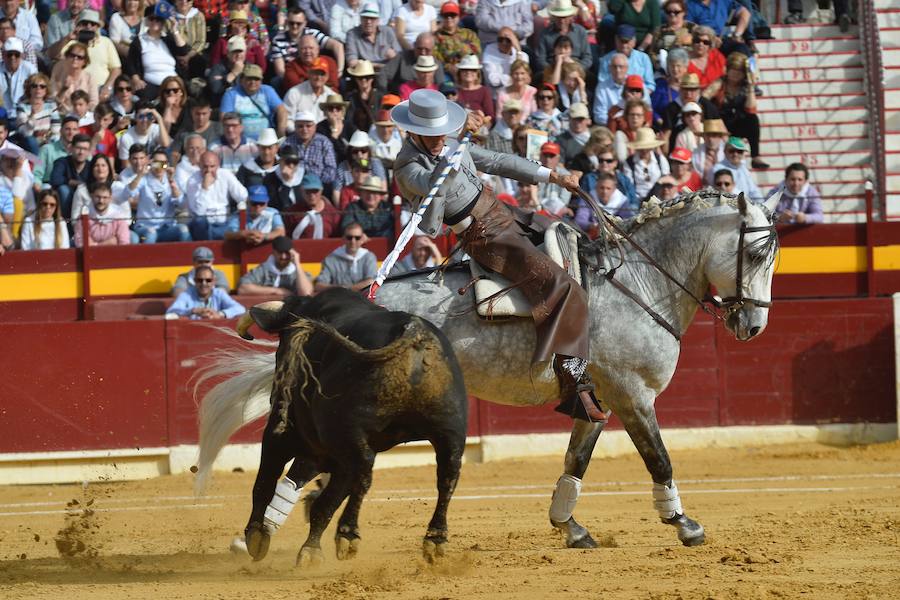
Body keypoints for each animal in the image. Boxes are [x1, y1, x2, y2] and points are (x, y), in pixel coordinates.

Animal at [236, 288, 468, 564]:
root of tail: (414, 332)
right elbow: (328, 500)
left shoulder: (283, 435)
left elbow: (264, 483)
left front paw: (256, 536)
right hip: (450, 429)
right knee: (447, 476)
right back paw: (435, 539)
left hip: (347, 434)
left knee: (363, 473)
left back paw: (343, 535)